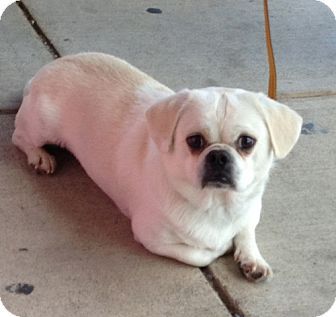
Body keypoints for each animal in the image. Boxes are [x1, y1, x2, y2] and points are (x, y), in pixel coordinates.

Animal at [12, 52, 302, 282]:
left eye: (247, 142)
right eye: (194, 141)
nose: (219, 156)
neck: (217, 204)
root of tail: (42, 73)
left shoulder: (250, 212)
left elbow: (246, 232)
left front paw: (252, 259)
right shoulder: (153, 237)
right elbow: (202, 255)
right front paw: (222, 248)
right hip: (43, 127)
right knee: (19, 136)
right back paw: (39, 156)